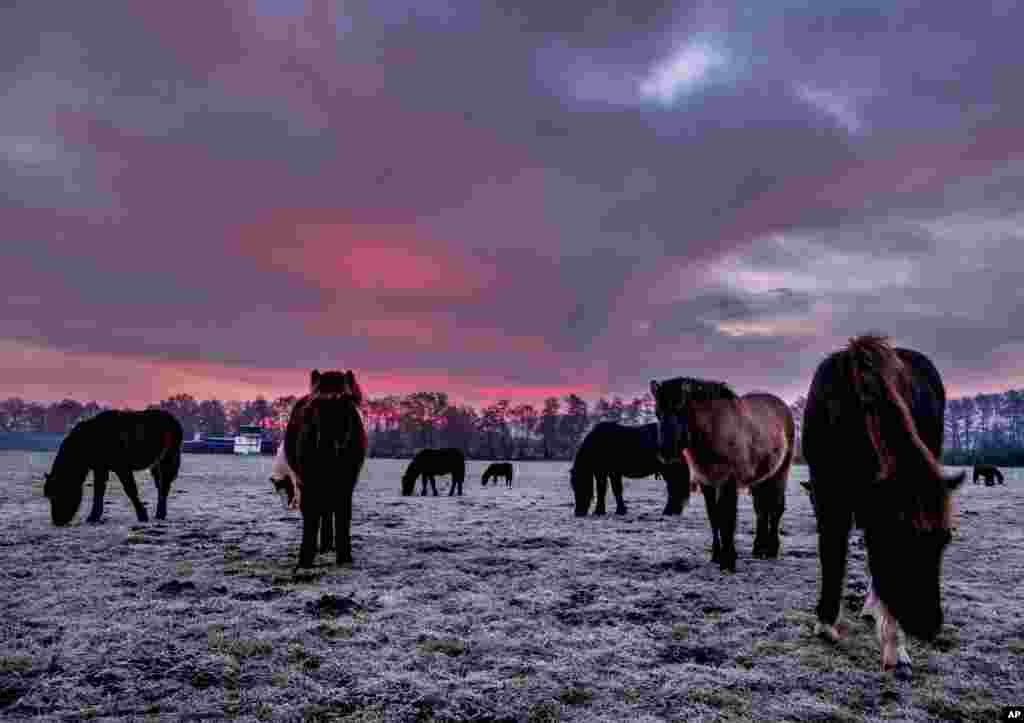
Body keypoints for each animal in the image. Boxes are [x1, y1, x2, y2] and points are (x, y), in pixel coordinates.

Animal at [42, 407, 182, 528]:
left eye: (59, 493)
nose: (57, 522)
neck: (90, 439)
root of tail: (173, 419)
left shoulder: (122, 468)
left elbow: (130, 490)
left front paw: (142, 515)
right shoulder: (100, 468)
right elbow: (99, 491)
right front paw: (93, 516)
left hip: (168, 460)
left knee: (164, 486)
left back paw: (160, 514)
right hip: (156, 465)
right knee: (160, 486)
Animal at [284, 368, 368, 565]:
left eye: (345, 400)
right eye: (314, 403)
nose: (327, 443)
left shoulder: (347, 482)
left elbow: (343, 515)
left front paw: (344, 557)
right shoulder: (307, 480)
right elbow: (311, 514)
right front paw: (305, 558)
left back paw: (328, 545)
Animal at [651, 376, 794, 569]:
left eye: (680, 410)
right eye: (657, 413)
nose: (665, 452)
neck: (714, 429)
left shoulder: (728, 482)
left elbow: (727, 518)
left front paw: (728, 560)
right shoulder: (707, 483)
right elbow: (714, 517)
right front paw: (716, 555)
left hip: (781, 472)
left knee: (776, 508)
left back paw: (772, 550)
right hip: (760, 479)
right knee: (761, 510)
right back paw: (758, 549)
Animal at [802, 335, 962, 679]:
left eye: (944, 542)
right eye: (897, 543)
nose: (929, 627)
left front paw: (894, 648)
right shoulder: (827, 495)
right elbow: (832, 556)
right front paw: (825, 623)